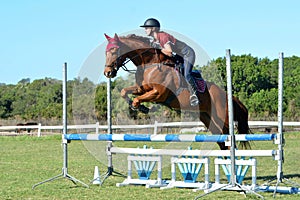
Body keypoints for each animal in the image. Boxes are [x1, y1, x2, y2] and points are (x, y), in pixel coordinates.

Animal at [103, 33, 251, 150]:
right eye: (106, 53)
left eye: (115, 51)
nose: (107, 73)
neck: (150, 63)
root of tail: (226, 95)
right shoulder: (142, 89)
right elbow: (124, 92)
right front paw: (142, 107)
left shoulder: (159, 93)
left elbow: (137, 99)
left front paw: (142, 107)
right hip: (208, 118)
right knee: (221, 141)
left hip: (222, 117)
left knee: (228, 139)